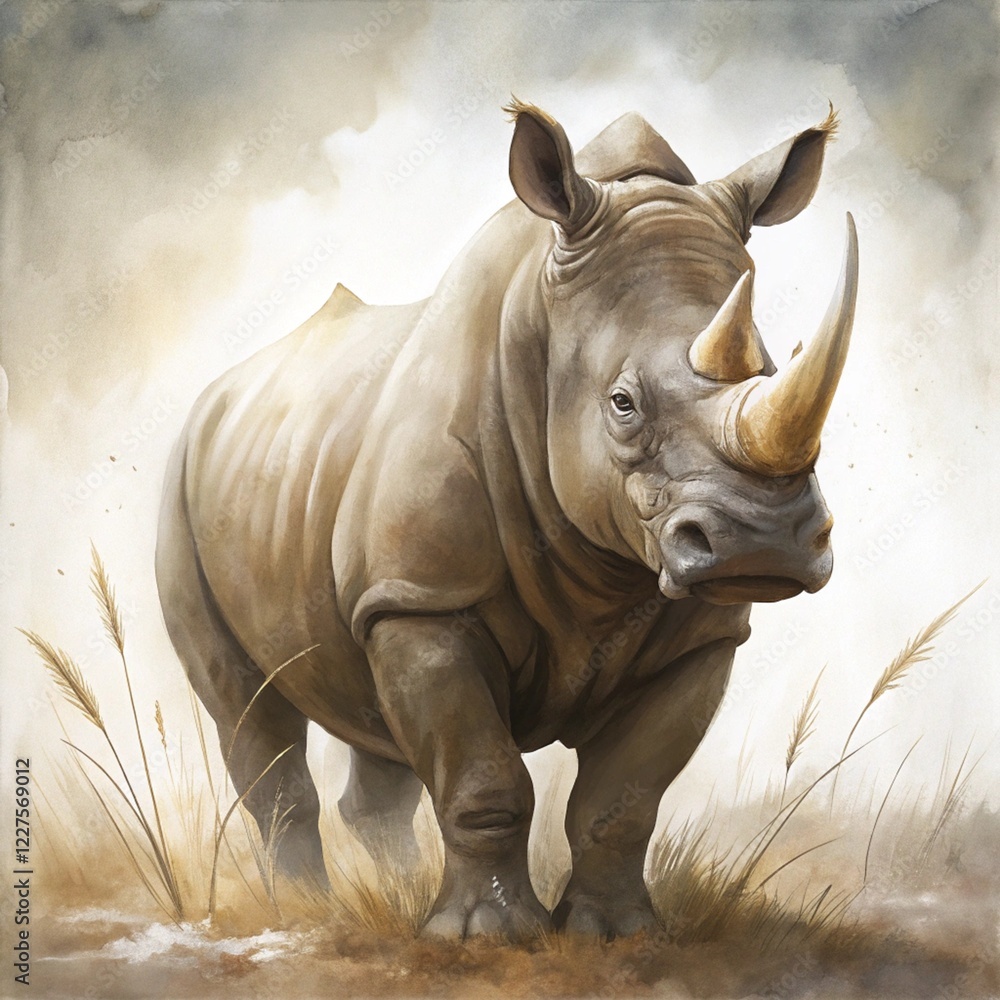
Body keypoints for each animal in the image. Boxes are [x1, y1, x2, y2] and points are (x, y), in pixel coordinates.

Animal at [155, 99, 858, 940]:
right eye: (623, 404)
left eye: (772, 372)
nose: (763, 545)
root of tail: (217, 395)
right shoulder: (425, 599)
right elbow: (484, 780)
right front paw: (485, 937)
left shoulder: (702, 635)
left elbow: (622, 802)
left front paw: (617, 934)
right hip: (182, 488)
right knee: (249, 711)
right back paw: (302, 913)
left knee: (371, 727)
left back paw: (391, 892)